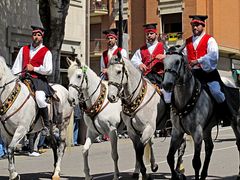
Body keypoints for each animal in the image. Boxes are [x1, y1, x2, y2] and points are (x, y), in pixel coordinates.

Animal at [161, 44, 240, 180]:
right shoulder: (177, 132)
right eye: (163, 62)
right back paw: (203, 174)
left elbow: (196, 162)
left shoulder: (197, 132)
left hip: (235, 123)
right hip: (207, 129)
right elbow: (170, 157)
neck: (185, 101)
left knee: (239, 143)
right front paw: (176, 175)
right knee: (209, 147)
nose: (167, 84)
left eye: (177, 62)